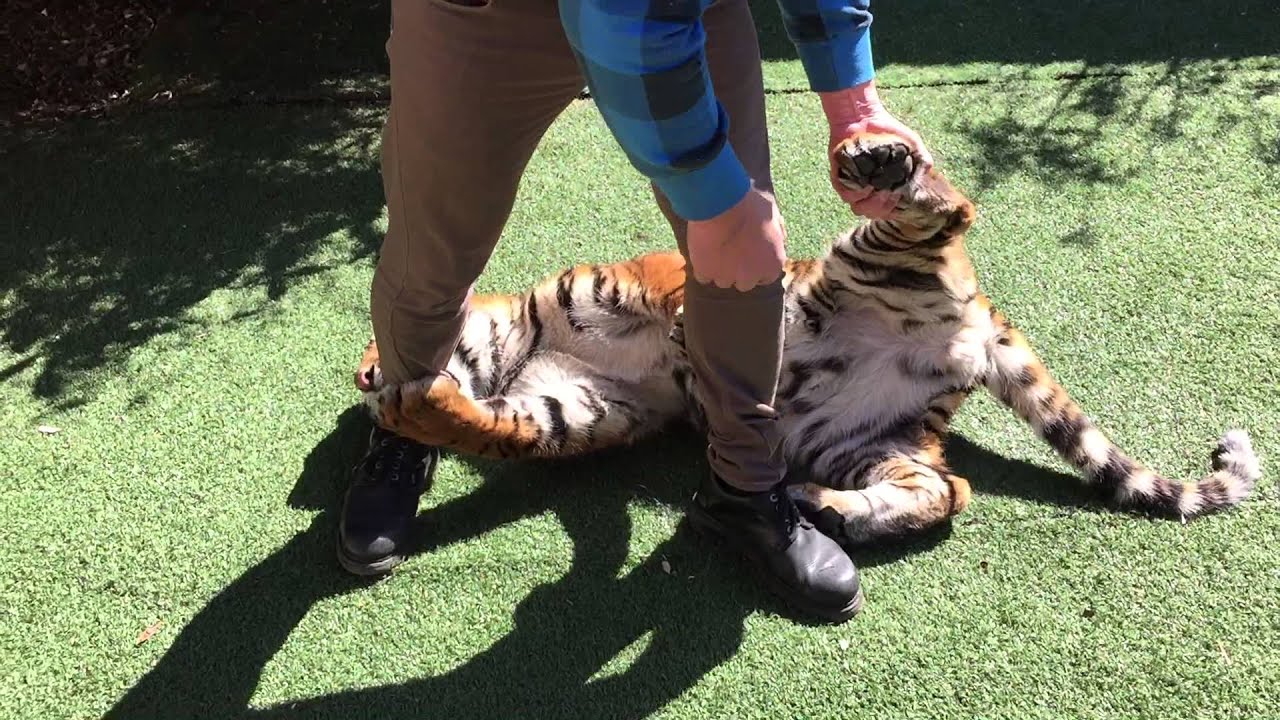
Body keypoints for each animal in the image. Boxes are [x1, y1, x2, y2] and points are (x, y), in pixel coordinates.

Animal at [353, 131, 1260, 544]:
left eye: (376, 337)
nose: (364, 378)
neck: (522, 346)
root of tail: (977, 318)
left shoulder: (651, 283)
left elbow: (684, 303)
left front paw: (409, 398)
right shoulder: (574, 407)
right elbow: (492, 427)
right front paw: (419, 409)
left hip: (877, 256)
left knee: (949, 209)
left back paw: (889, 162)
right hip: (863, 440)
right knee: (948, 491)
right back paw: (826, 509)